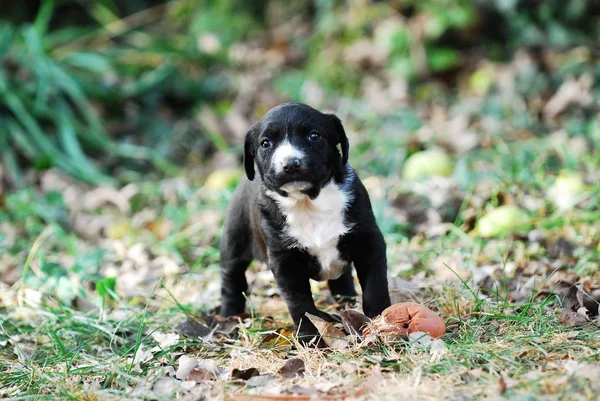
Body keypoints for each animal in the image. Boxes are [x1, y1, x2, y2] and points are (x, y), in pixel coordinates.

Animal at [218, 101, 392, 340]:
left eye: (314, 136)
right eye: (265, 143)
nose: (290, 164)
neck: (308, 203)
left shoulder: (368, 241)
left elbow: (375, 284)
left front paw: (381, 318)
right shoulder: (285, 262)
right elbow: (300, 304)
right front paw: (309, 337)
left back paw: (345, 303)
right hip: (235, 240)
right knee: (231, 278)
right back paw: (229, 316)